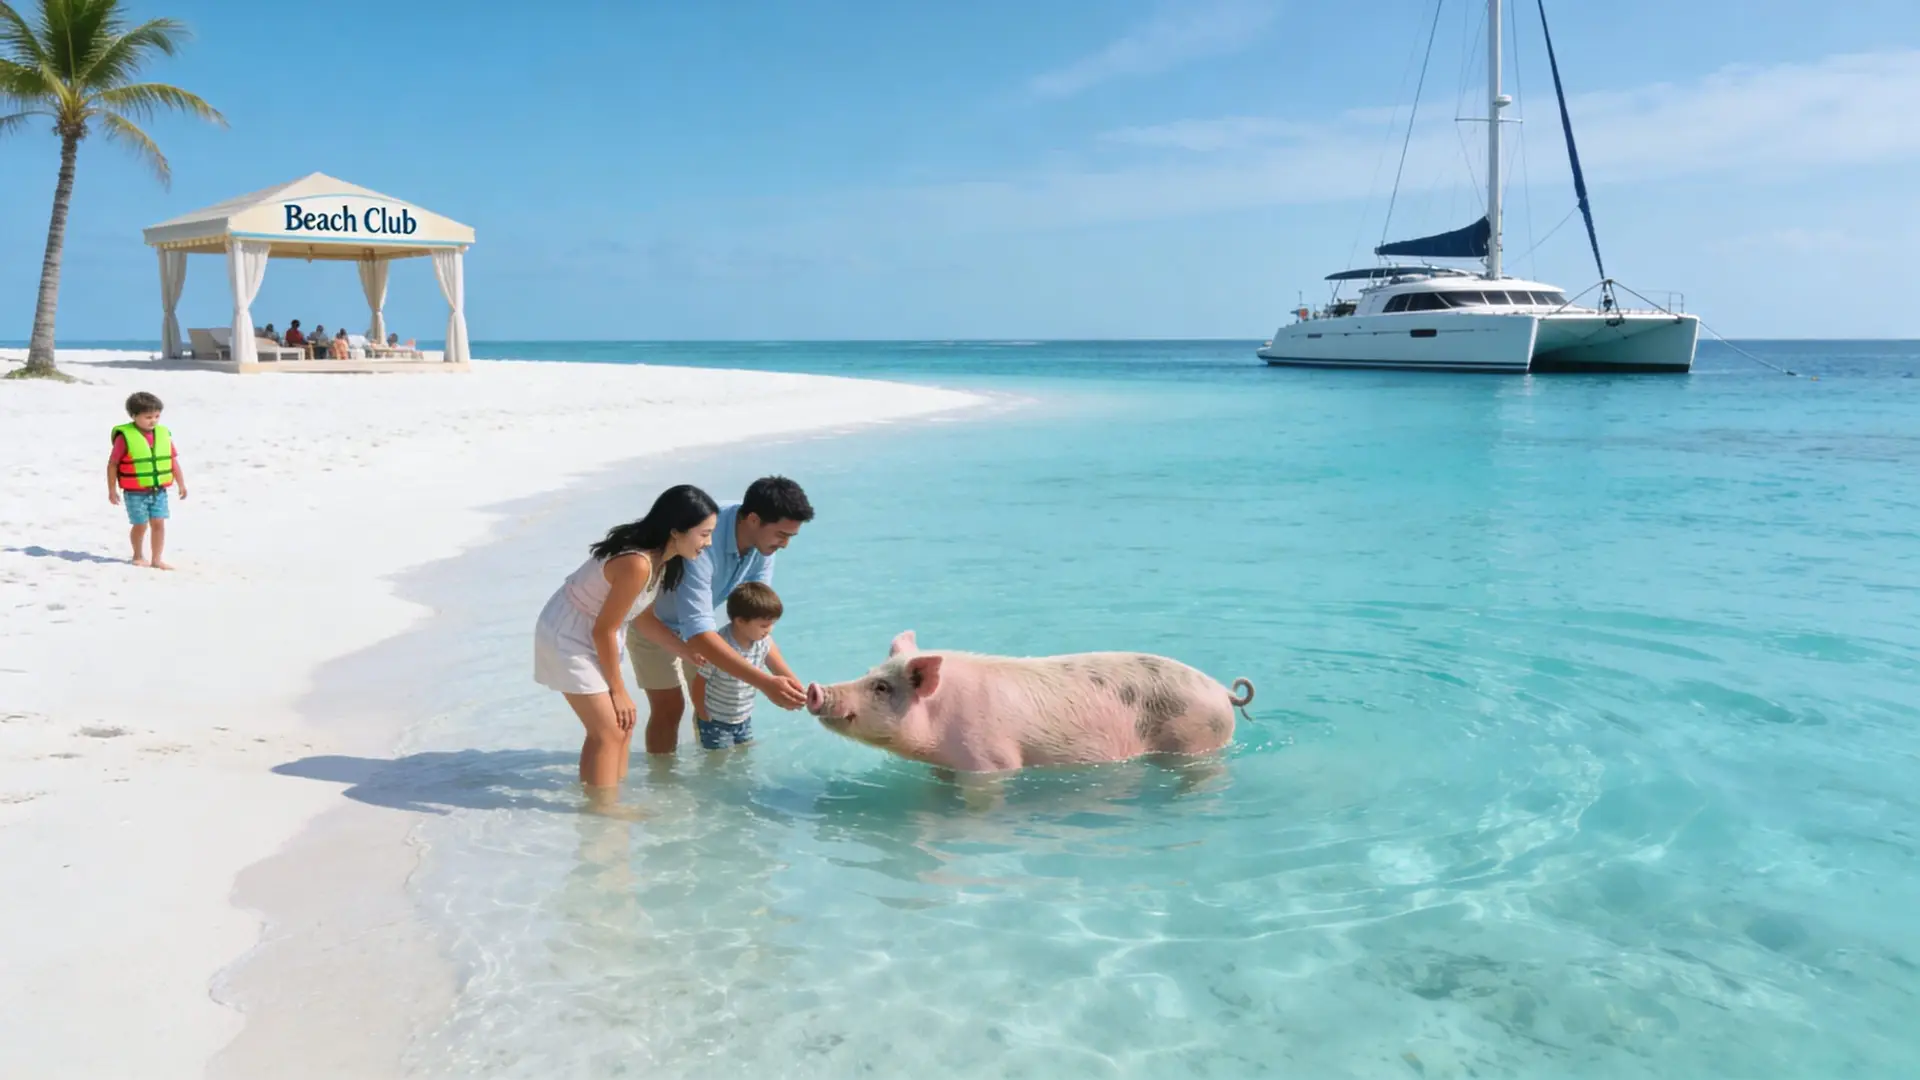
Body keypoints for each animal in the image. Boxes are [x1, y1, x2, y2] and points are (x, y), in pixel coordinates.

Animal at [805, 630, 1255, 773]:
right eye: (868, 672)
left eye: (881, 687)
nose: (815, 689)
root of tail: (1223, 691)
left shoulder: (991, 761)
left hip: (1197, 737)